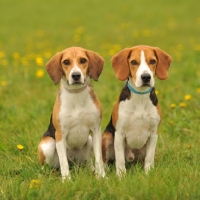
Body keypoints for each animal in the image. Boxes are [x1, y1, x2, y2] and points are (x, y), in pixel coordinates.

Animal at [38, 46, 106, 180]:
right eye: (66, 62)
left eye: (83, 60)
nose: (76, 75)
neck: (76, 94)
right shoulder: (60, 134)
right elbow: (63, 163)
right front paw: (67, 180)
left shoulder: (96, 130)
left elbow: (99, 158)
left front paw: (102, 177)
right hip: (48, 144)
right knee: (48, 166)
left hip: (89, 140)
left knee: (89, 162)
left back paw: (91, 169)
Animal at [101, 45, 172, 177]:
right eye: (133, 62)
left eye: (153, 61)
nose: (146, 77)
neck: (140, 96)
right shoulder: (119, 133)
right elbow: (119, 159)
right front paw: (121, 176)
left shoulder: (153, 133)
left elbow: (149, 158)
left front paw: (148, 173)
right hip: (107, 137)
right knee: (106, 160)